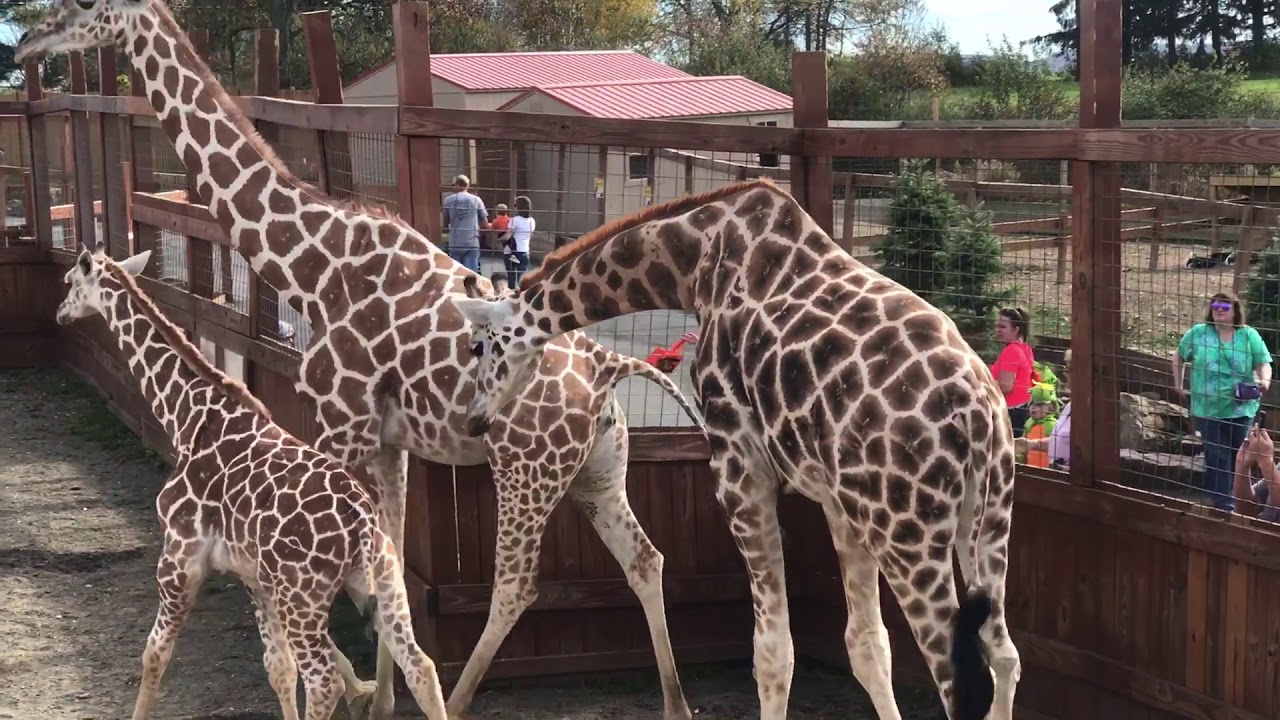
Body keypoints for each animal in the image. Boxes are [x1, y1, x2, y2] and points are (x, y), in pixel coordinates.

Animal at [53, 243, 449, 720]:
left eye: (72, 281)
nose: (60, 313)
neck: (187, 415)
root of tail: (363, 522)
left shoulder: (178, 557)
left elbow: (154, 654)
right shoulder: (253, 575)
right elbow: (278, 669)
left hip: (304, 597)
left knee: (325, 681)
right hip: (386, 583)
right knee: (421, 667)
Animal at [449, 178, 1022, 720]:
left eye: (479, 346)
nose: (476, 419)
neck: (691, 262)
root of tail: (977, 413)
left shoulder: (737, 462)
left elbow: (772, 653)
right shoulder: (837, 501)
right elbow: (866, 644)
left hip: (908, 532)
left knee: (957, 681)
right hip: (985, 520)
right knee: (1005, 656)